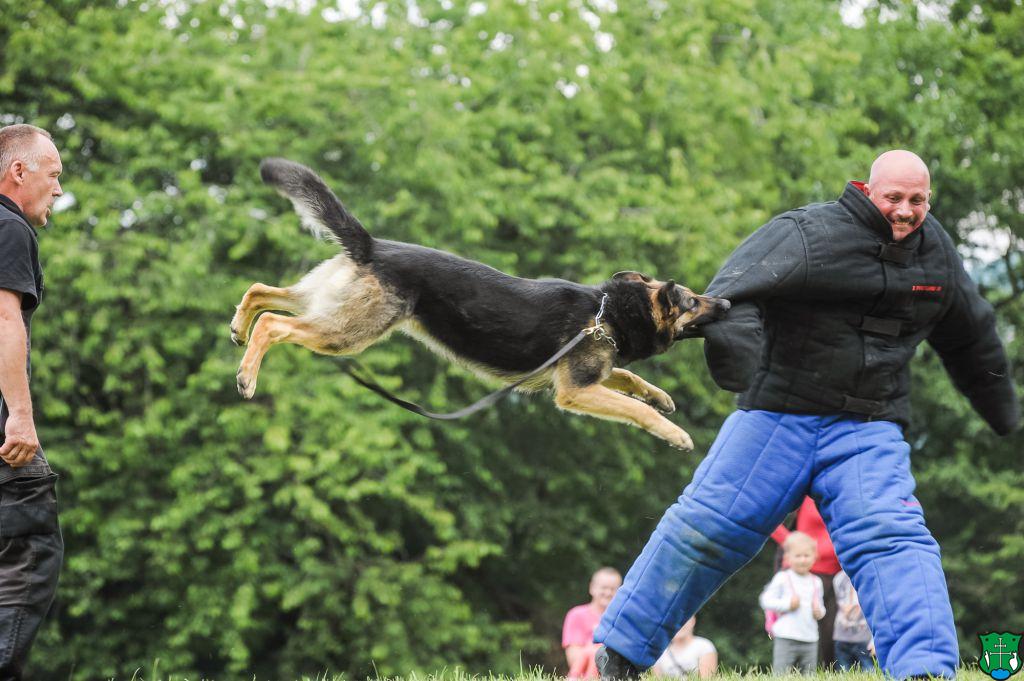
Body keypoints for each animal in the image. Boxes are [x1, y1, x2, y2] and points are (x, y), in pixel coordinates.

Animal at [231, 159, 730, 450]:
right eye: (693, 300)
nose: (725, 302)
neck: (609, 311)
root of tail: (370, 246)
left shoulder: (586, 375)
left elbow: (628, 377)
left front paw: (660, 395)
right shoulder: (576, 391)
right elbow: (634, 406)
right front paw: (675, 433)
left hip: (328, 302)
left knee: (261, 291)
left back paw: (238, 327)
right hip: (347, 332)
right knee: (275, 323)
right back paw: (247, 376)